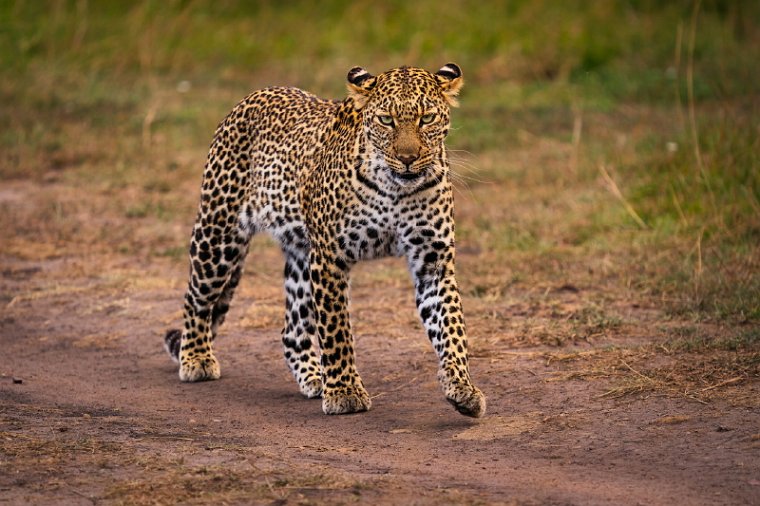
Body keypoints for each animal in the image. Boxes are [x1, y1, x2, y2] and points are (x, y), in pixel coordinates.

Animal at [163, 63, 486, 418]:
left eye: (427, 118)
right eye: (386, 120)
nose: (408, 158)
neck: (396, 190)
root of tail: (252, 96)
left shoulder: (433, 261)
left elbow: (452, 328)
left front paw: (462, 388)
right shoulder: (331, 257)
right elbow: (336, 330)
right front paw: (345, 392)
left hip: (301, 256)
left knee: (291, 330)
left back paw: (314, 377)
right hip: (219, 236)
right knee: (196, 299)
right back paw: (196, 358)